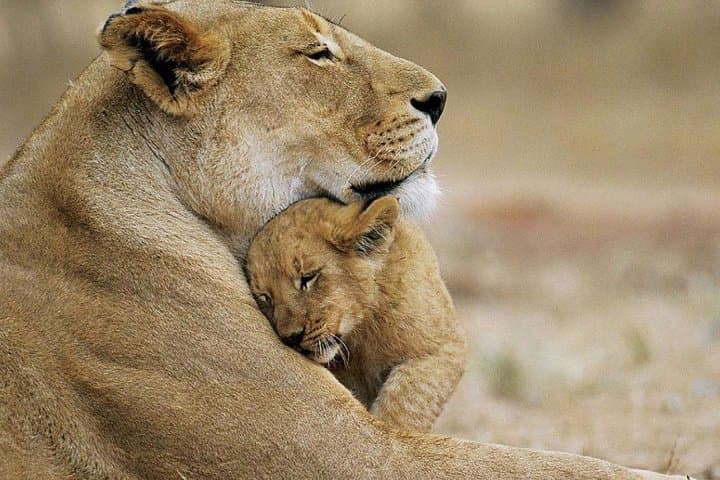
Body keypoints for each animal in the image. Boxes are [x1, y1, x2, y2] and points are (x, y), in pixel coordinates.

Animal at [246, 195, 467, 433]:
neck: (360, 332)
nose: (292, 338)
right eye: (265, 297)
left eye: (308, 277)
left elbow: (407, 401)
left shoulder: (444, 346)